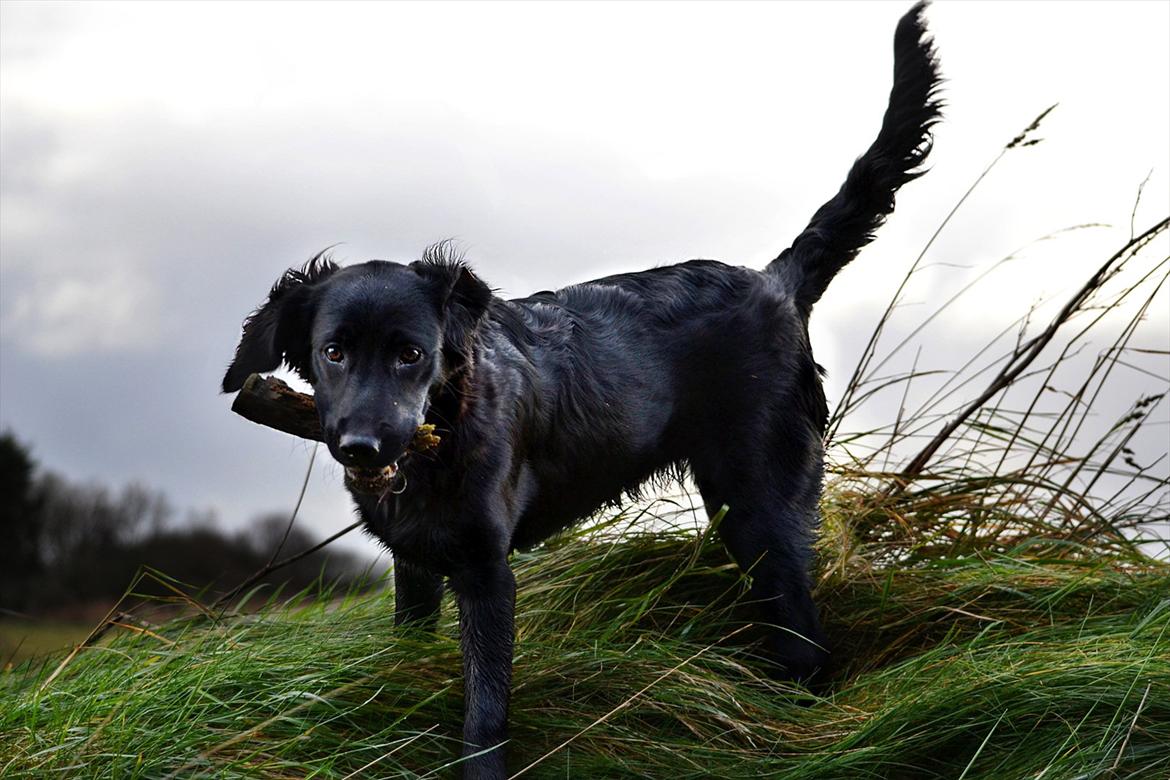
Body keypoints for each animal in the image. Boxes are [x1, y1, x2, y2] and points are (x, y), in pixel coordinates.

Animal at [223, 4, 940, 776]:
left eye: (411, 355)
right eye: (333, 353)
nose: (360, 446)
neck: (443, 437)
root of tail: (775, 280)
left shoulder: (486, 572)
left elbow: (483, 716)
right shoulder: (412, 568)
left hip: (763, 508)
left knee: (806, 645)